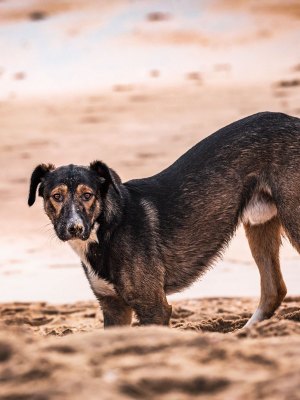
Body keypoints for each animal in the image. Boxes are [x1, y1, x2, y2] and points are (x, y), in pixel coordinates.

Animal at [28, 111, 300, 328]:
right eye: (57, 196)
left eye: (87, 195)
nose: (74, 228)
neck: (108, 229)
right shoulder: (114, 308)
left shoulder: (154, 309)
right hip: (259, 223)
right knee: (274, 290)